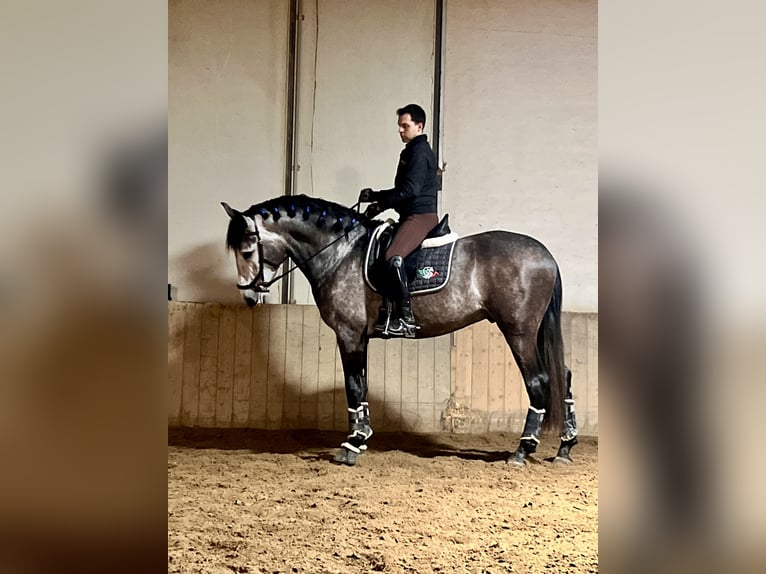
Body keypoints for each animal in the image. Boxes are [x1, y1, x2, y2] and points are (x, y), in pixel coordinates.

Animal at [221, 194, 578, 466]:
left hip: (518, 332)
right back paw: (564, 447)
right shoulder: (360, 338)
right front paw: (361, 437)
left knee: (538, 381)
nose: (249, 296)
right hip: (533, 333)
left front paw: (351, 445)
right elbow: (361, 386)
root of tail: (546, 256)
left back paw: (523, 450)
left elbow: (353, 386)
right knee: (563, 375)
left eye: (248, 250)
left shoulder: (348, 334)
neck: (340, 254)